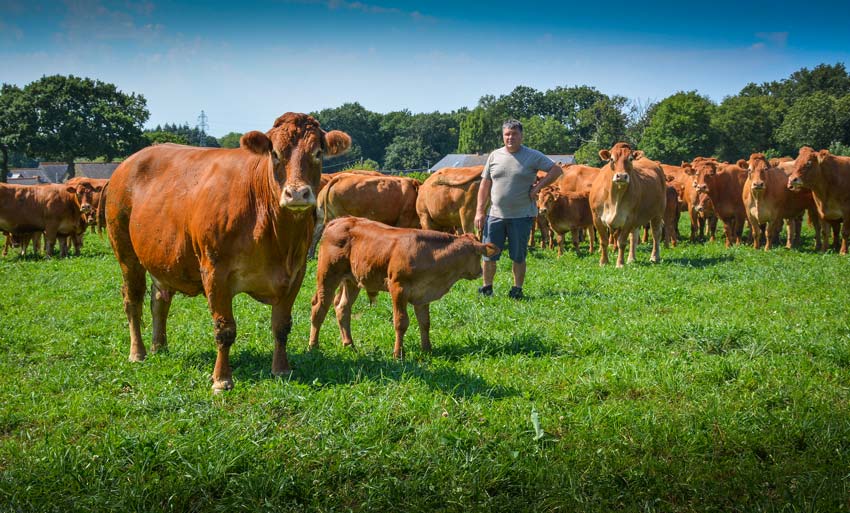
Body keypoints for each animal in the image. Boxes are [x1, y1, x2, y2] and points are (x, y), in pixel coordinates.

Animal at [106, 113, 352, 392]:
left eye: (318, 153)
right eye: (275, 153)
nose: (297, 193)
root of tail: (131, 161)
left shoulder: (295, 273)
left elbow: (281, 326)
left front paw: (281, 369)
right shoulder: (215, 272)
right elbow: (224, 329)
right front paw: (222, 378)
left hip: (162, 257)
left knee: (159, 299)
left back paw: (160, 346)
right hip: (126, 254)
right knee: (132, 300)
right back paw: (138, 352)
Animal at [308, 218, 496, 358]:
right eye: (477, 255)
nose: (480, 271)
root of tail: (339, 220)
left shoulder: (422, 293)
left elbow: (425, 322)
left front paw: (427, 349)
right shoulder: (398, 288)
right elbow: (401, 322)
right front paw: (398, 353)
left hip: (352, 280)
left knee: (342, 308)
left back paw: (349, 345)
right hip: (327, 276)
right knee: (319, 308)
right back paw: (313, 346)